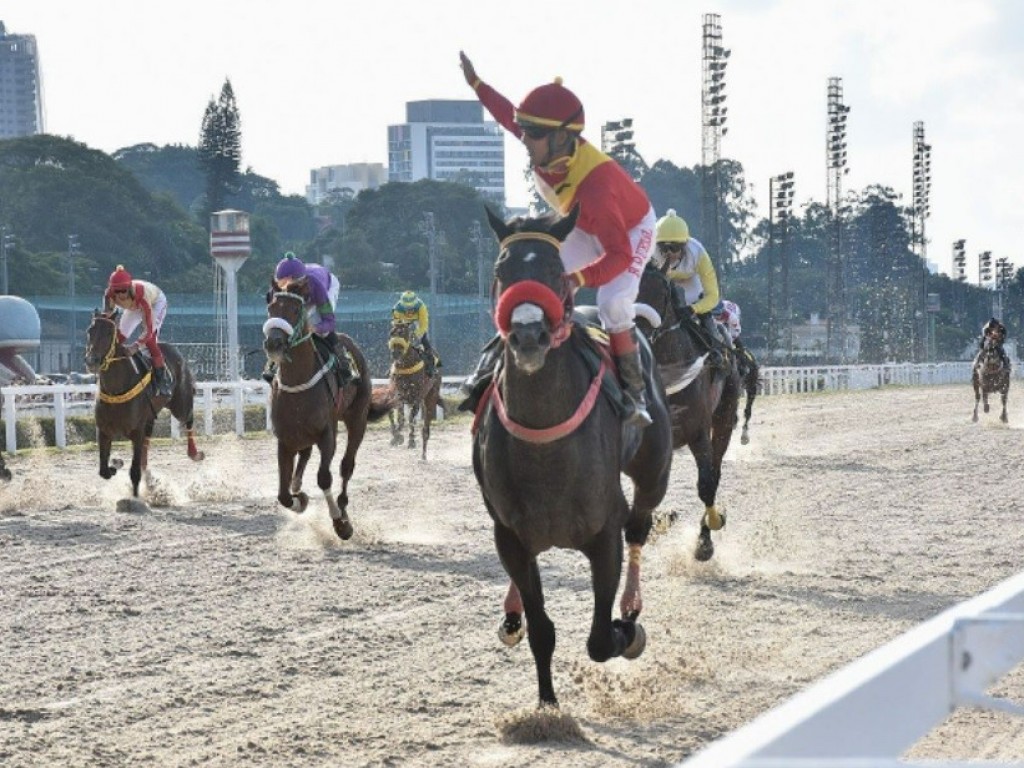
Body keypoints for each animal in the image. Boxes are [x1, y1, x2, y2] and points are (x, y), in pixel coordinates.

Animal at [84, 313, 204, 499]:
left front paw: (135, 496)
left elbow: (134, 472)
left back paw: (195, 453)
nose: (92, 360)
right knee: (148, 441)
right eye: (90, 330)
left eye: (109, 333)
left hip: (180, 404)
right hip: (150, 416)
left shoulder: (136, 432)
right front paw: (116, 463)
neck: (115, 390)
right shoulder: (103, 430)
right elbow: (103, 471)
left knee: (189, 418)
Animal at [262, 288, 393, 540]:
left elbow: (324, 478)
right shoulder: (285, 439)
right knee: (304, 456)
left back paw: (342, 507)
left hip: (357, 419)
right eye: (270, 308)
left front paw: (340, 523)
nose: (274, 342)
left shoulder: (327, 434)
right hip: (301, 434)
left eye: (296, 310)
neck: (298, 382)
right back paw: (298, 486)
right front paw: (300, 500)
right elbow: (283, 494)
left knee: (346, 465)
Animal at [387, 321, 440, 460]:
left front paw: (410, 441)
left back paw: (423, 454)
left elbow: (410, 419)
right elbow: (400, 418)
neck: (406, 365)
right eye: (391, 333)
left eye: (405, 334)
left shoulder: (416, 398)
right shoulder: (399, 396)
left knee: (425, 426)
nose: (395, 353)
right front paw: (397, 437)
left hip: (430, 396)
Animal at [468, 208, 671, 708]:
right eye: (501, 270)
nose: (527, 335)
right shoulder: (511, 537)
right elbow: (543, 629)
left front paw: (626, 631)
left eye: (556, 272)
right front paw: (547, 705)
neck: (544, 448)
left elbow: (600, 639)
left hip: (653, 472)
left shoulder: (605, 533)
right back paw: (511, 615)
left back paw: (630, 609)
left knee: (640, 526)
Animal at [634, 264, 741, 561]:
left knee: (715, 473)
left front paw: (706, 539)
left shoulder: (698, 433)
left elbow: (706, 485)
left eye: (662, 293)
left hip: (724, 418)